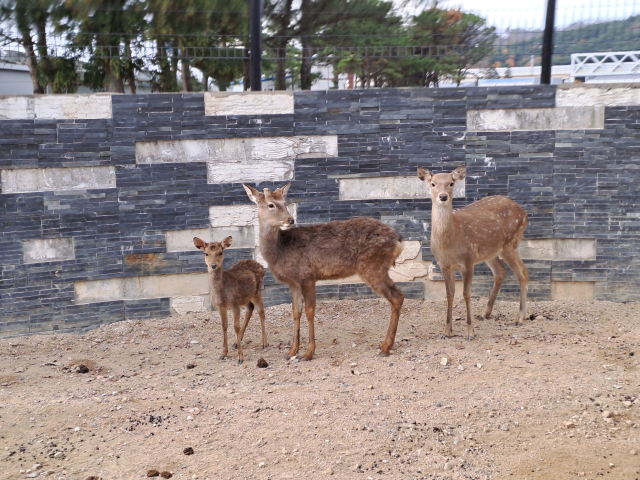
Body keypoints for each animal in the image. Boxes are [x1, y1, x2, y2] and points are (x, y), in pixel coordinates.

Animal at [192, 236, 268, 364]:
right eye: (206, 253)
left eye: (220, 252)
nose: (213, 265)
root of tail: (262, 267)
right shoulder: (220, 306)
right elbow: (224, 326)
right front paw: (223, 354)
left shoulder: (234, 303)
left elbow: (236, 327)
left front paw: (240, 357)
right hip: (245, 297)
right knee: (250, 309)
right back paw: (237, 342)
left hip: (256, 292)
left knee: (261, 311)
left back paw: (264, 343)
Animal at [242, 183, 402, 360]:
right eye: (271, 204)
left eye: (285, 202)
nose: (290, 219)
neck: (279, 251)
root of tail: (399, 239)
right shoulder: (293, 282)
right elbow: (295, 312)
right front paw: (291, 352)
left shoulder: (307, 276)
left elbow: (310, 311)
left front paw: (308, 352)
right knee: (399, 295)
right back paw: (385, 345)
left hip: (373, 266)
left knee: (396, 297)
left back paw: (386, 346)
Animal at [418, 165, 528, 342]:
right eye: (433, 184)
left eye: (451, 183)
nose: (443, 196)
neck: (450, 244)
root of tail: (525, 214)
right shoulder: (444, 265)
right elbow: (449, 294)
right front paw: (446, 331)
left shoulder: (468, 261)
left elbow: (466, 294)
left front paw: (470, 333)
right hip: (490, 252)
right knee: (501, 271)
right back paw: (484, 313)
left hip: (510, 243)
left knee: (523, 272)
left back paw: (520, 318)